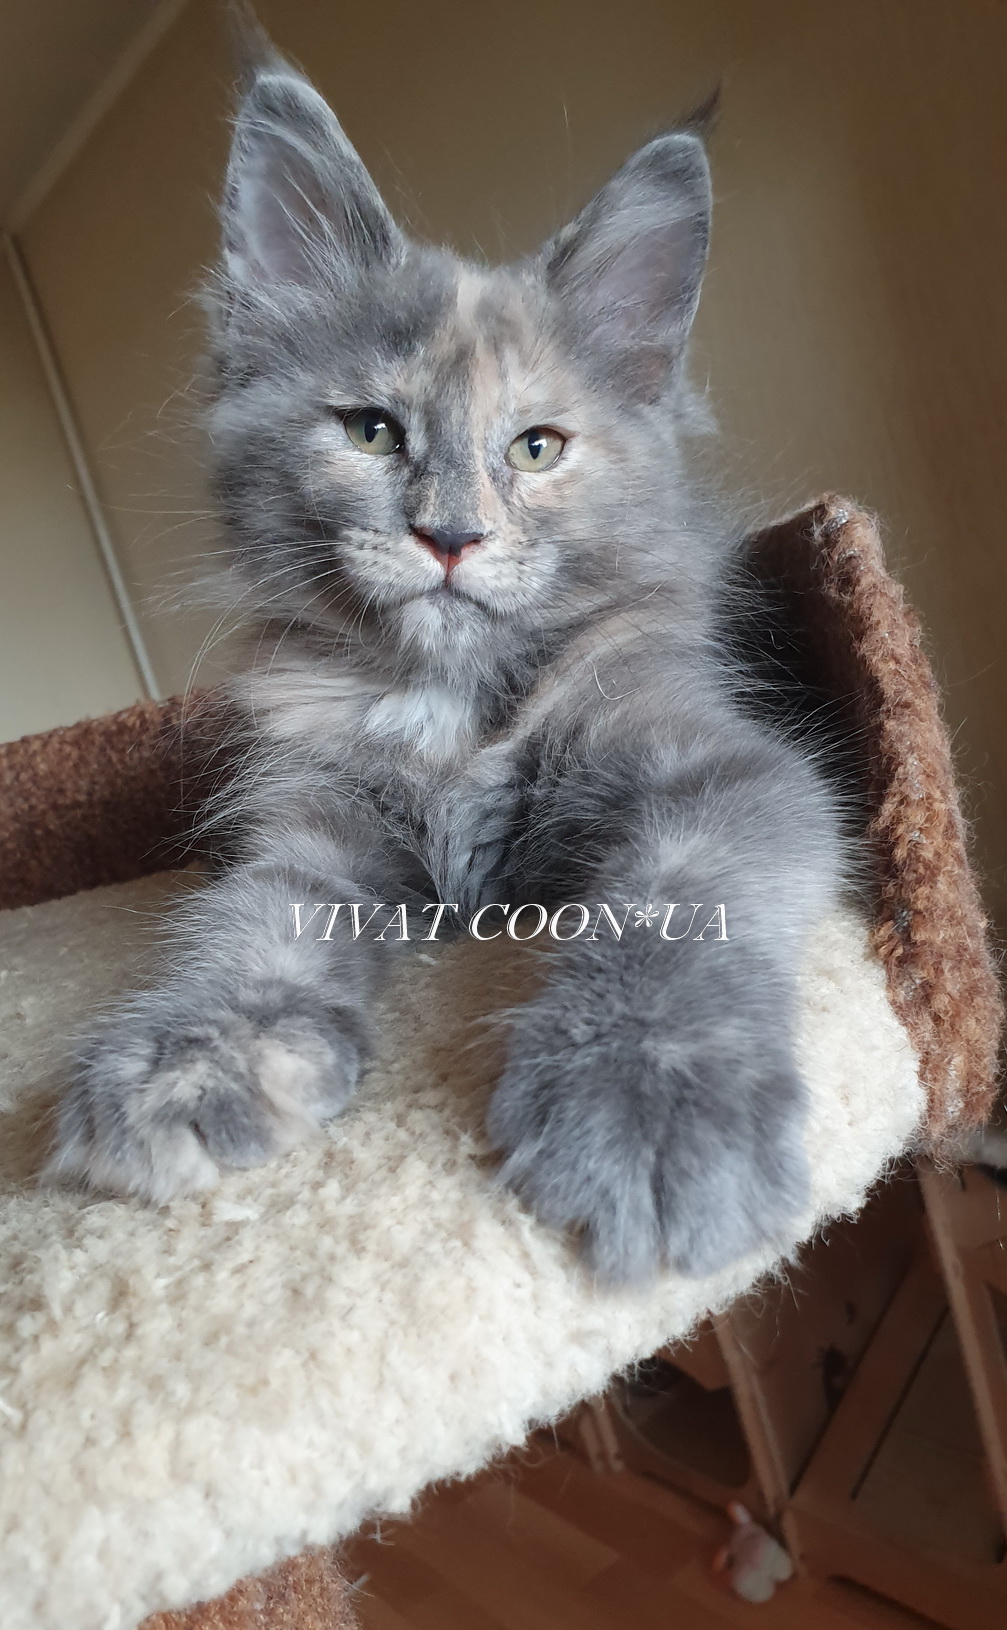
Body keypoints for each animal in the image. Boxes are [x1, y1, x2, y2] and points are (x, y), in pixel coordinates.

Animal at [47, 30, 845, 1284]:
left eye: (536, 447)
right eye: (372, 431)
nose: (451, 535)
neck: (450, 706)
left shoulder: (717, 764)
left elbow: (676, 903)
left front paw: (648, 1098)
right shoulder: (311, 824)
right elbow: (250, 925)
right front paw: (193, 1053)